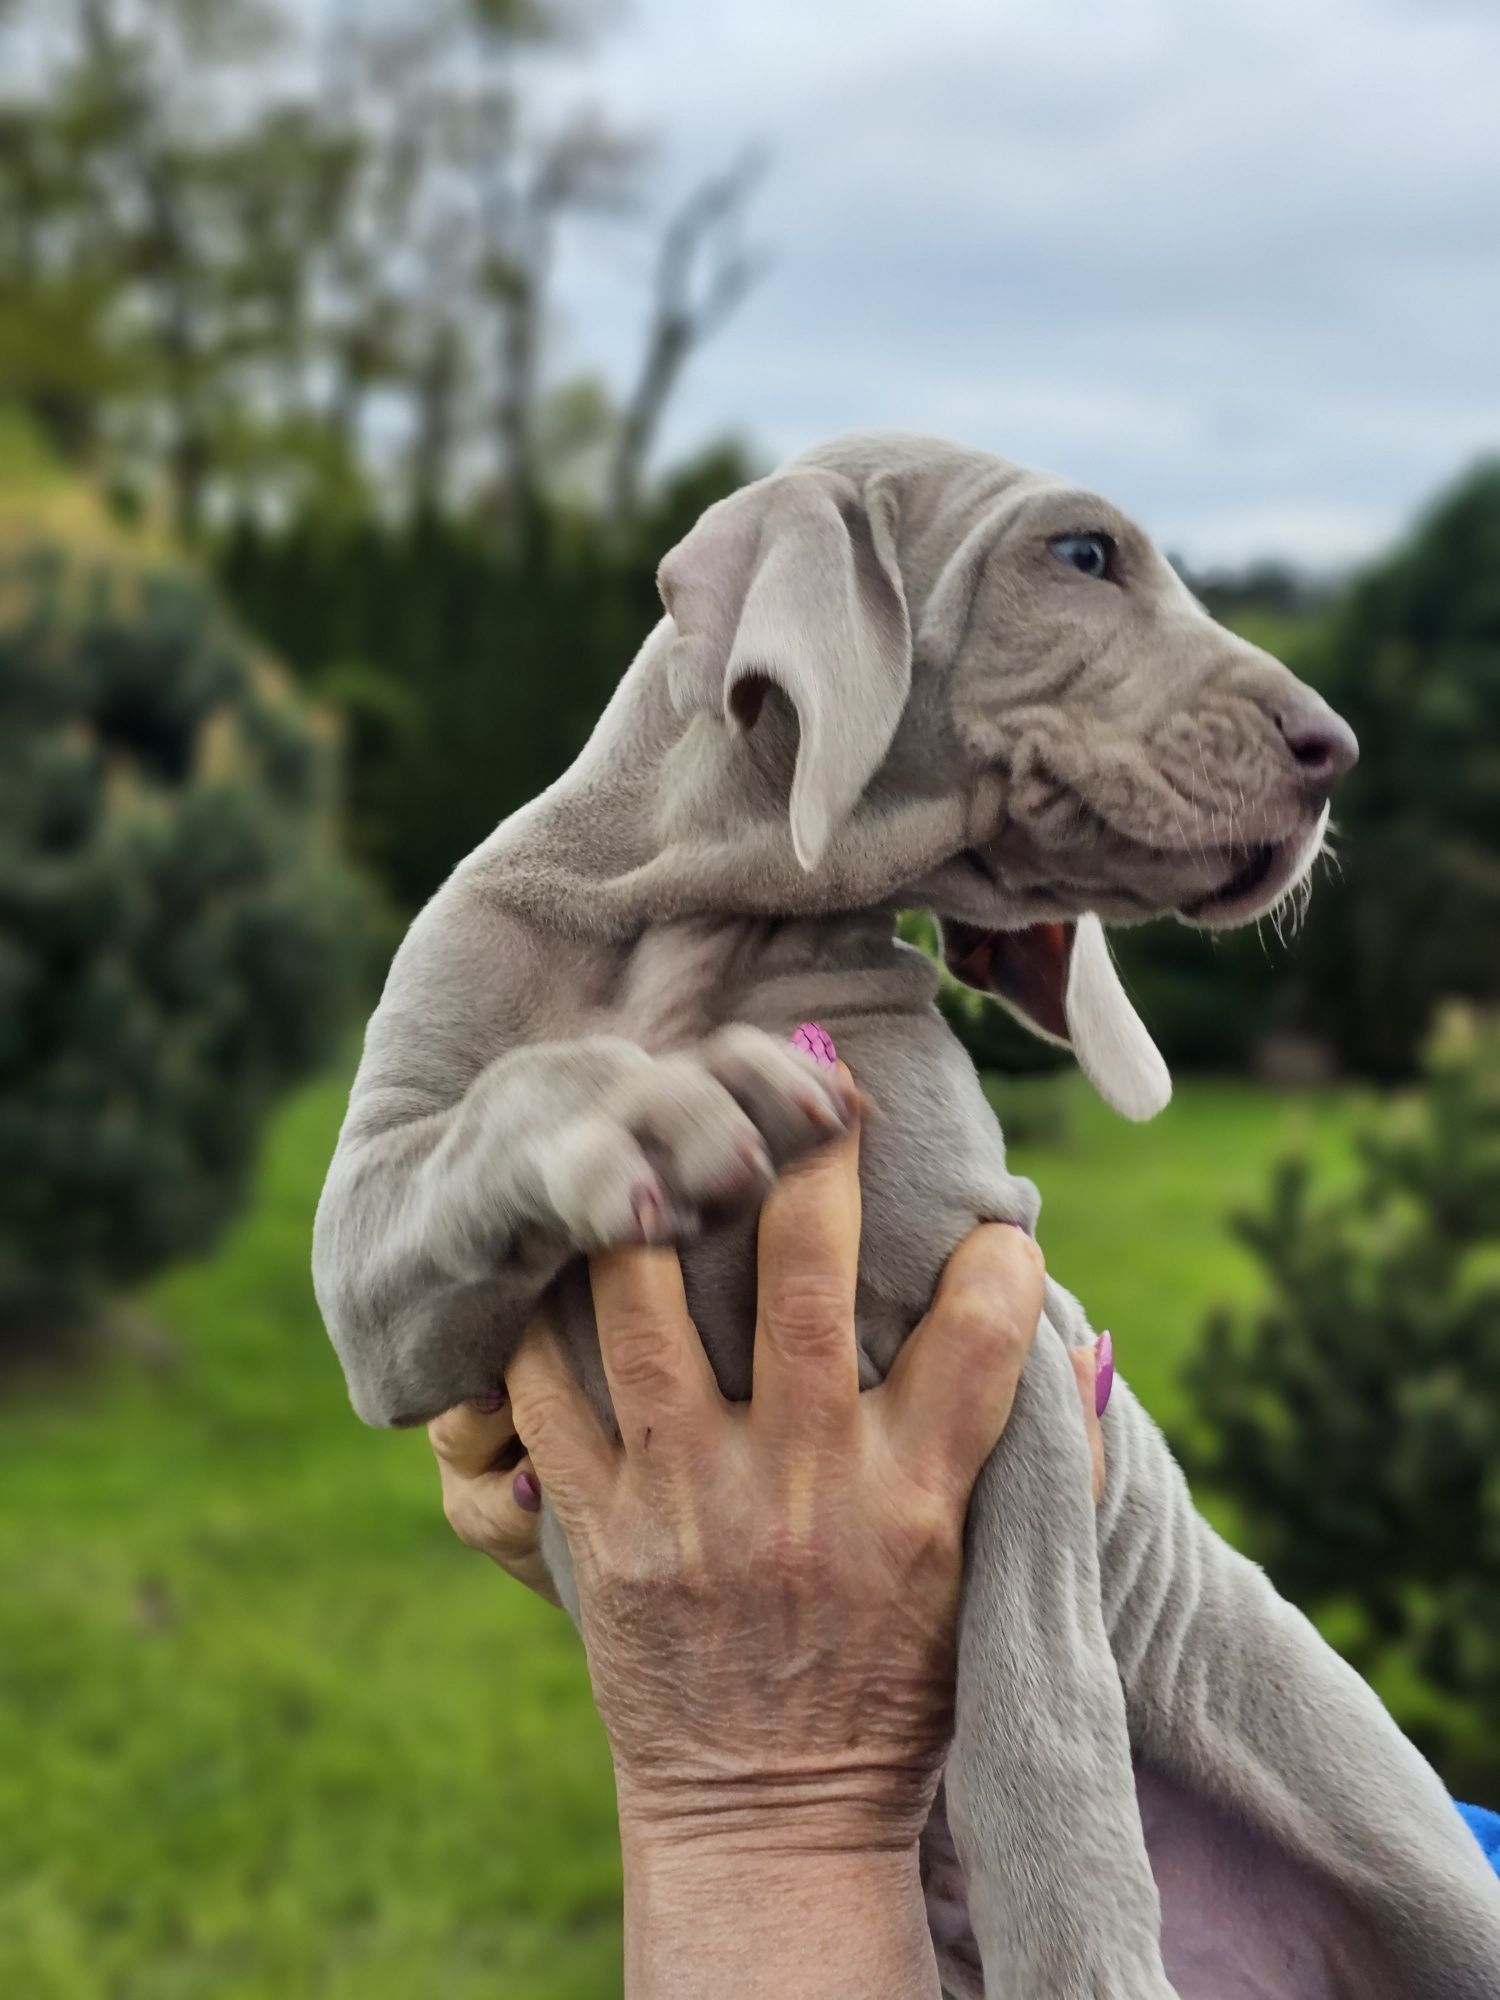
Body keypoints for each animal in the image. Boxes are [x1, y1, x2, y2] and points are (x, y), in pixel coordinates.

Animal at [312, 430, 1500, 1992]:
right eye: (1081, 553)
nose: (1337, 753)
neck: (701, 928)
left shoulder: (1011, 1335)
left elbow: (1037, 1697)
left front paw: (1087, 1957)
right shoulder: (370, 1272)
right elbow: (509, 1105)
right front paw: (660, 1102)